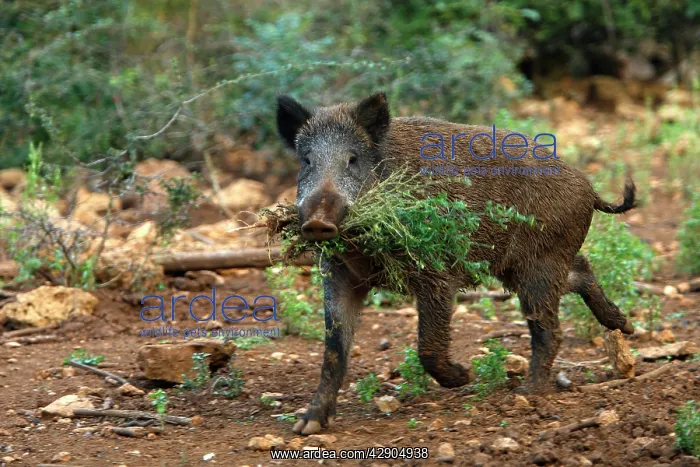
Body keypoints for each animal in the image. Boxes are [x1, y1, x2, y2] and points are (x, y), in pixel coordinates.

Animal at [276, 91, 637, 435]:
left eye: (352, 159)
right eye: (307, 160)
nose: (318, 222)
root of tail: (589, 190)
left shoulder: (436, 273)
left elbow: (428, 345)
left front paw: (466, 377)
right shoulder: (339, 274)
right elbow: (334, 350)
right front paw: (306, 426)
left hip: (539, 265)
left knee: (550, 330)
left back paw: (526, 392)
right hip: (519, 268)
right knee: (581, 271)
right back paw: (625, 326)